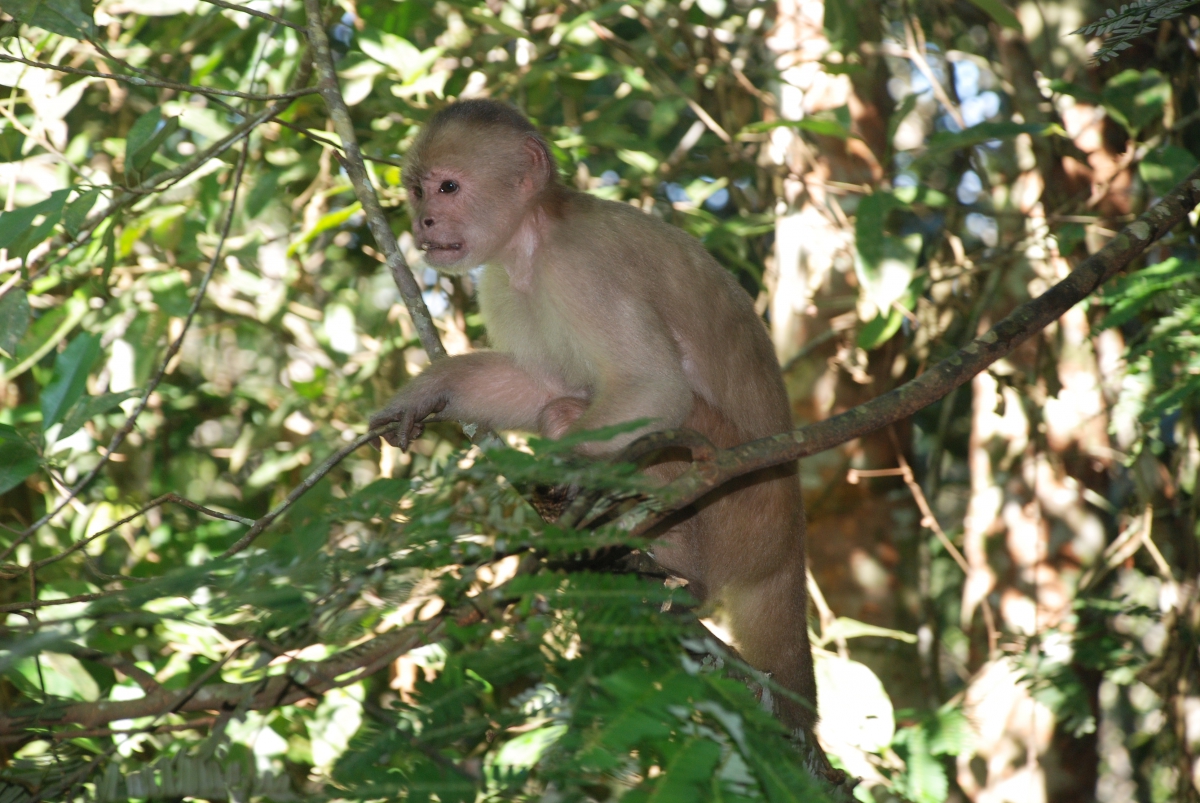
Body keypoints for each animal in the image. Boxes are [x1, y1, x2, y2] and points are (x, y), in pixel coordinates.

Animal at [369, 98, 820, 734]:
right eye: (415, 191)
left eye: (448, 187)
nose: (425, 222)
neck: (534, 233)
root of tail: (789, 546)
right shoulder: (503, 282)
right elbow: (541, 386)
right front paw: (433, 388)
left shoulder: (580, 265)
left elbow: (652, 386)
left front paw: (551, 479)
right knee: (563, 406)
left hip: (744, 509)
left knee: (663, 429)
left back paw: (681, 577)